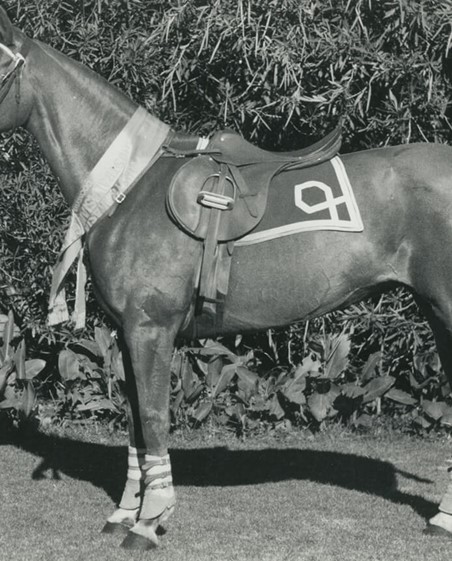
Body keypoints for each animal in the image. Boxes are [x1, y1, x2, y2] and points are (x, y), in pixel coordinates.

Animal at [0, 7, 452, 550]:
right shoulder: (127, 334)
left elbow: (153, 418)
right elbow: (134, 422)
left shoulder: (151, 329)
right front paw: (126, 512)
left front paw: (149, 521)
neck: (130, 187)